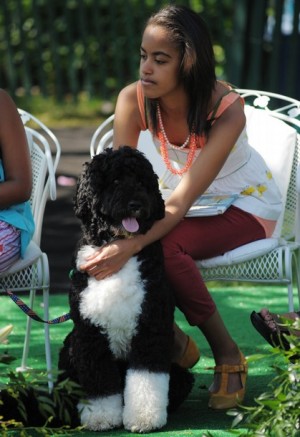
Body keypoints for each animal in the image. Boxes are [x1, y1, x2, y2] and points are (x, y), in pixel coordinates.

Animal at [57, 145, 193, 430]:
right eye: (116, 181)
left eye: (142, 182)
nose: (136, 205)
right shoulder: (89, 332)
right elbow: (99, 382)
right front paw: (101, 417)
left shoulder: (151, 327)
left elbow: (146, 379)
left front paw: (144, 417)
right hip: (68, 352)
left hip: (180, 373)